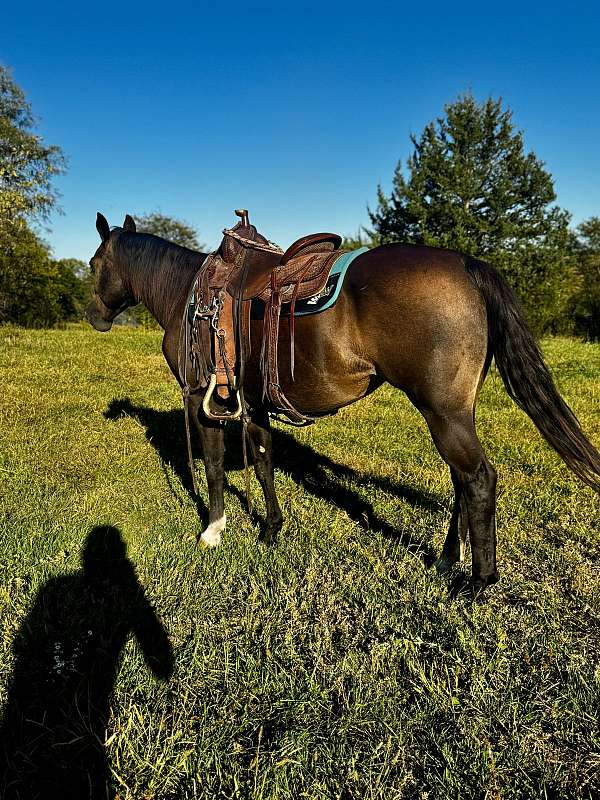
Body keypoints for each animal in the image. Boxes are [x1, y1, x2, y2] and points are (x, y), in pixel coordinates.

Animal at [84, 212, 600, 592]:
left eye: (92, 263)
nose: (93, 315)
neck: (187, 296)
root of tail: (466, 266)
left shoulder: (204, 399)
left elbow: (212, 466)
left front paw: (214, 529)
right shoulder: (253, 403)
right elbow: (264, 460)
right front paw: (271, 529)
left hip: (444, 414)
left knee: (478, 479)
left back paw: (478, 581)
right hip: (454, 412)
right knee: (462, 479)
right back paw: (447, 559)